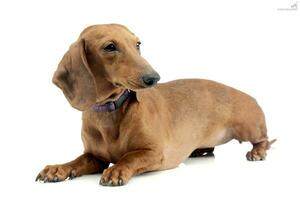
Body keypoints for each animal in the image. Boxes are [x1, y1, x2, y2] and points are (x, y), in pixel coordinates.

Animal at [36, 24, 276, 186]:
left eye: (138, 44)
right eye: (110, 47)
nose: (154, 78)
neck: (110, 111)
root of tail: (251, 97)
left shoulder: (154, 153)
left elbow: (130, 157)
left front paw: (117, 170)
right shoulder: (95, 157)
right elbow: (77, 161)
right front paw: (58, 169)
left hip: (248, 128)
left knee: (265, 140)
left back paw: (257, 152)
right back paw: (200, 150)